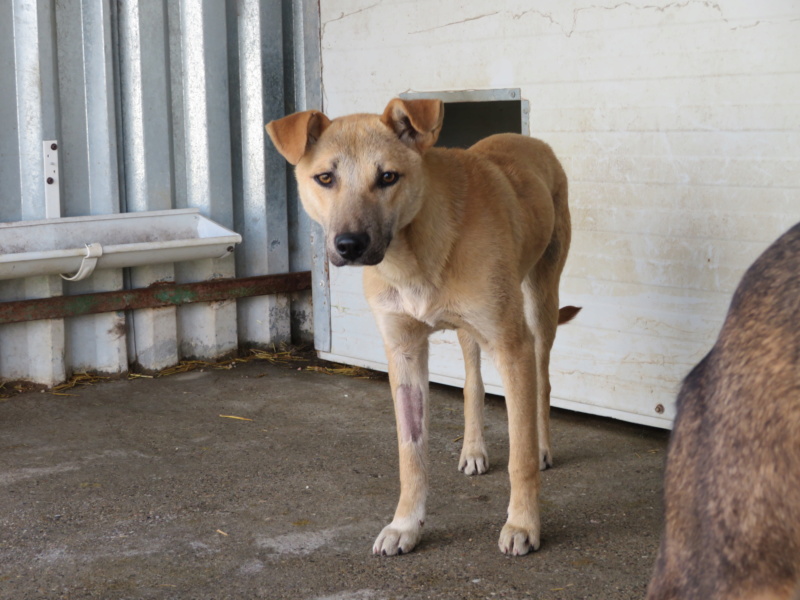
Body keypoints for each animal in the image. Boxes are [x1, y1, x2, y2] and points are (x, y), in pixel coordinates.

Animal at [268, 96, 576, 556]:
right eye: (324, 178)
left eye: (388, 177)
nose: (350, 245)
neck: (413, 255)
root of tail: (529, 139)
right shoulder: (405, 353)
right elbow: (410, 454)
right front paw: (405, 525)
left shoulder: (511, 344)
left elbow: (519, 455)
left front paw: (523, 524)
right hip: (472, 331)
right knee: (472, 383)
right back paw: (473, 449)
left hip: (540, 305)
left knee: (542, 383)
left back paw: (542, 447)